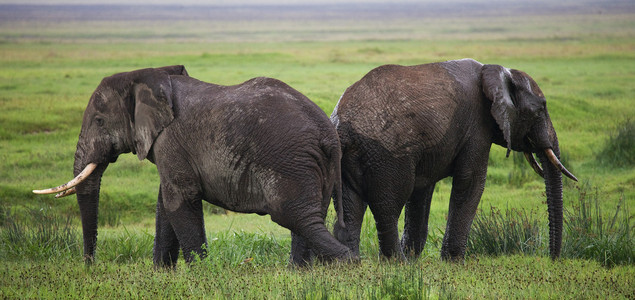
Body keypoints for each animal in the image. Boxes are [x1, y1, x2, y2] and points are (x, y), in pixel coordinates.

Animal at [33, 65, 352, 268]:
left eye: (99, 121)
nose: (90, 266)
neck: (148, 77)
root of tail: (328, 134)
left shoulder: (171, 139)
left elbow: (179, 200)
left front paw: (200, 273)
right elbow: (164, 204)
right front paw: (162, 274)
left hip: (289, 162)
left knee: (297, 217)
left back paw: (349, 263)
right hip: (312, 166)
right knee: (308, 218)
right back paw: (300, 273)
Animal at [330, 58, 580, 260]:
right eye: (542, 108)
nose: (552, 258)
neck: (496, 72)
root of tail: (342, 124)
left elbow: (422, 190)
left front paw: (416, 259)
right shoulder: (477, 127)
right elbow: (471, 181)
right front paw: (453, 261)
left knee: (351, 206)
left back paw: (352, 263)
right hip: (387, 153)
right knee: (388, 205)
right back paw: (396, 263)